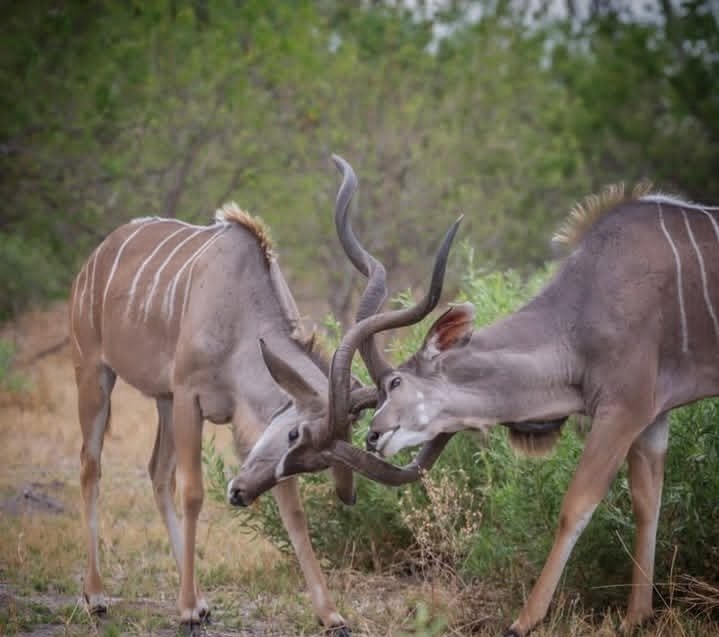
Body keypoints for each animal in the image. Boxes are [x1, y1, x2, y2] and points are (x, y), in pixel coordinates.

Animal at [69, 200, 372, 632]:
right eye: (295, 435)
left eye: (319, 462)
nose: (237, 495)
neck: (238, 311)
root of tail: (95, 257)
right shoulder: (189, 396)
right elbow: (193, 493)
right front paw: (184, 610)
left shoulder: (246, 426)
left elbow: (293, 512)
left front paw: (330, 614)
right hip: (94, 373)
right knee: (90, 466)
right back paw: (96, 596)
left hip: (162, 399)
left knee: (157, 471)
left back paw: (199, 600)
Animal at [326, 183, 719, 632]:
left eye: (394, 383)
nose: (373, 436)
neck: (581, 315)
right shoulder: (653, 417)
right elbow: (646, 503)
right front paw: (637, 619)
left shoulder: (623, 410)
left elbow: (576, 505)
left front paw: (524, 621)